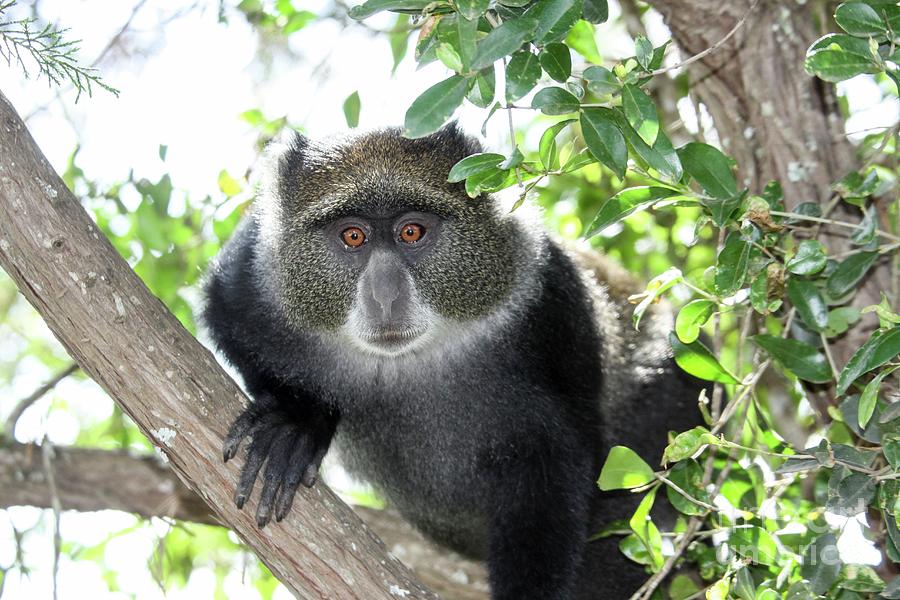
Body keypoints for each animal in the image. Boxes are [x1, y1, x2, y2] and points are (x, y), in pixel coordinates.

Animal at [202, 124, 712, 596]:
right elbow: (222, 309)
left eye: (412, 231)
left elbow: (561, 469)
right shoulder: (253, 272)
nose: (385, 296)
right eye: (353, 236)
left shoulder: (552, 304)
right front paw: (299, 419)